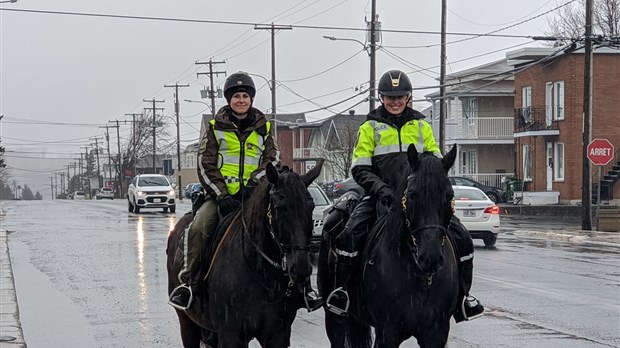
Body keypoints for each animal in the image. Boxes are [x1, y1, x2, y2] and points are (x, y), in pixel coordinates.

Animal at [167, 161, 324, 348]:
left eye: (311, 207)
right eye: (279, 208)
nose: (300, 269)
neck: (263, 275)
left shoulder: (278, 335)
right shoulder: (231, 335)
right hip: (187, 323)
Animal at [320, 143, 460, 346]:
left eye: (449, 195)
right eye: (412, 195)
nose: (430, 257)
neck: (419, 276)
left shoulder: (436, 333)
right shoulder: (387, 332)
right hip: (332, 316)